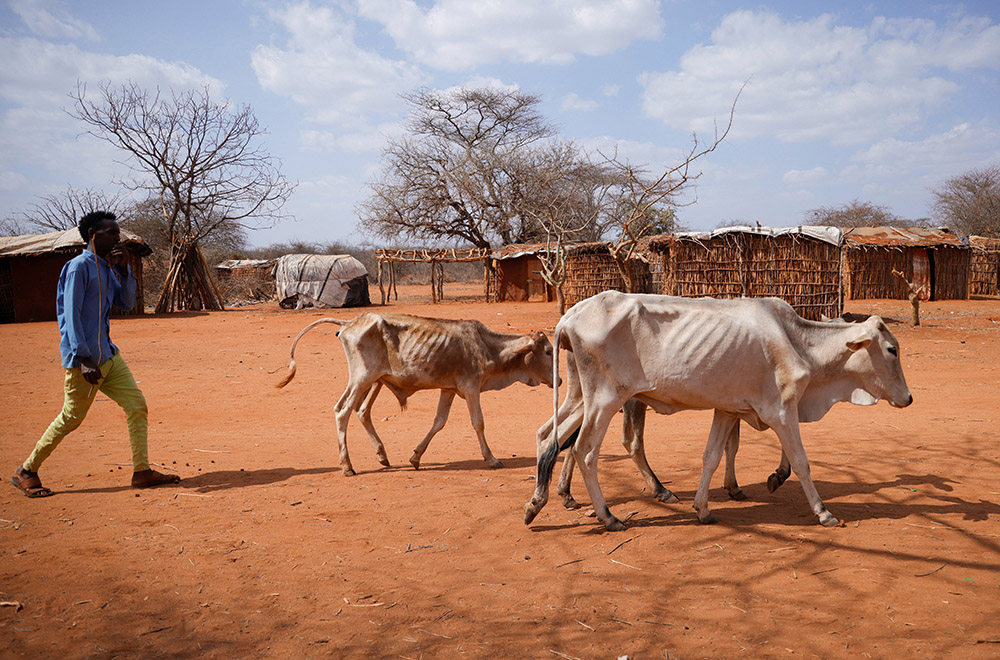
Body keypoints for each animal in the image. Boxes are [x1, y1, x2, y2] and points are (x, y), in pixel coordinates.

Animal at [274, 314, 556, 474]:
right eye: (548, 351)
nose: (560, 379)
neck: (488, 346)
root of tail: (349, 323)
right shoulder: (471, 387)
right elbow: (478, 423)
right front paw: (491, 458)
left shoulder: (449, 389)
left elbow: (438, 423)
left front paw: (416, 457)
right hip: (362, 378)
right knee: (342, 411)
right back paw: (347, 466)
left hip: (372, 381)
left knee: (361, 411)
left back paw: (382, 455)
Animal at [524, 292, 916, 528]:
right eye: (892, 350)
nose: (909, 398)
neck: (798, 342)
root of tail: (571, 315)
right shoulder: (781, 411)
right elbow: (801, 462)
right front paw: (823, 512)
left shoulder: (729, 410)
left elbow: (713, 456)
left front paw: (704, 508)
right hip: (606, 400)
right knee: (585, 450)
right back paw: (608, 516)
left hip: (583, 398)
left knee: (548, 436)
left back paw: (539, 502)